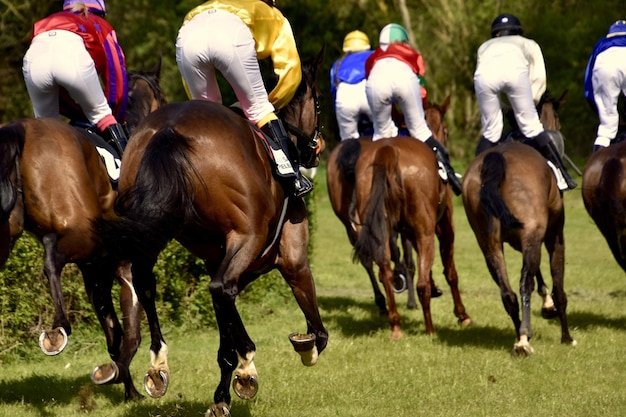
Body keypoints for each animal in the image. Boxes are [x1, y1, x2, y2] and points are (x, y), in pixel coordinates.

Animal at [0, 63, 165, 398]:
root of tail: (19, 129)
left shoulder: (96, 272)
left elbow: (114, 332)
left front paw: (125, 384)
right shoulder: (124, 263)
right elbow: (131, 331)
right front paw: (126, 378)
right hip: (82, 234)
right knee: (51, 259)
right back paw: (59, 328)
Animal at [92, 48, 326, 412]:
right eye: (317, 104)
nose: (317, 147)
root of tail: (168, 130)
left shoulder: (217, 257)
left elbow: (223, 332)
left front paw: (222, 394)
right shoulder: (291, 258)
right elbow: (317, 327)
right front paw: (305, 346)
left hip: (153, 230)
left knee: (146, 283)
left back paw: (158, 364)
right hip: (247, 237)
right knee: (220, 288)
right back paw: (248, 362)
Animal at [460, 90, 572, 354]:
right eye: (558, 120)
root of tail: (495, 159)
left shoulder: (521, 239)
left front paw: (546, 304)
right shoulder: (551, 235)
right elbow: (558, 283)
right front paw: (566, 335)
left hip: (488, 244)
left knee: (507, 292)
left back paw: (520, 334)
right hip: (532, 234)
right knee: (523, 283)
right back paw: (523, 339)